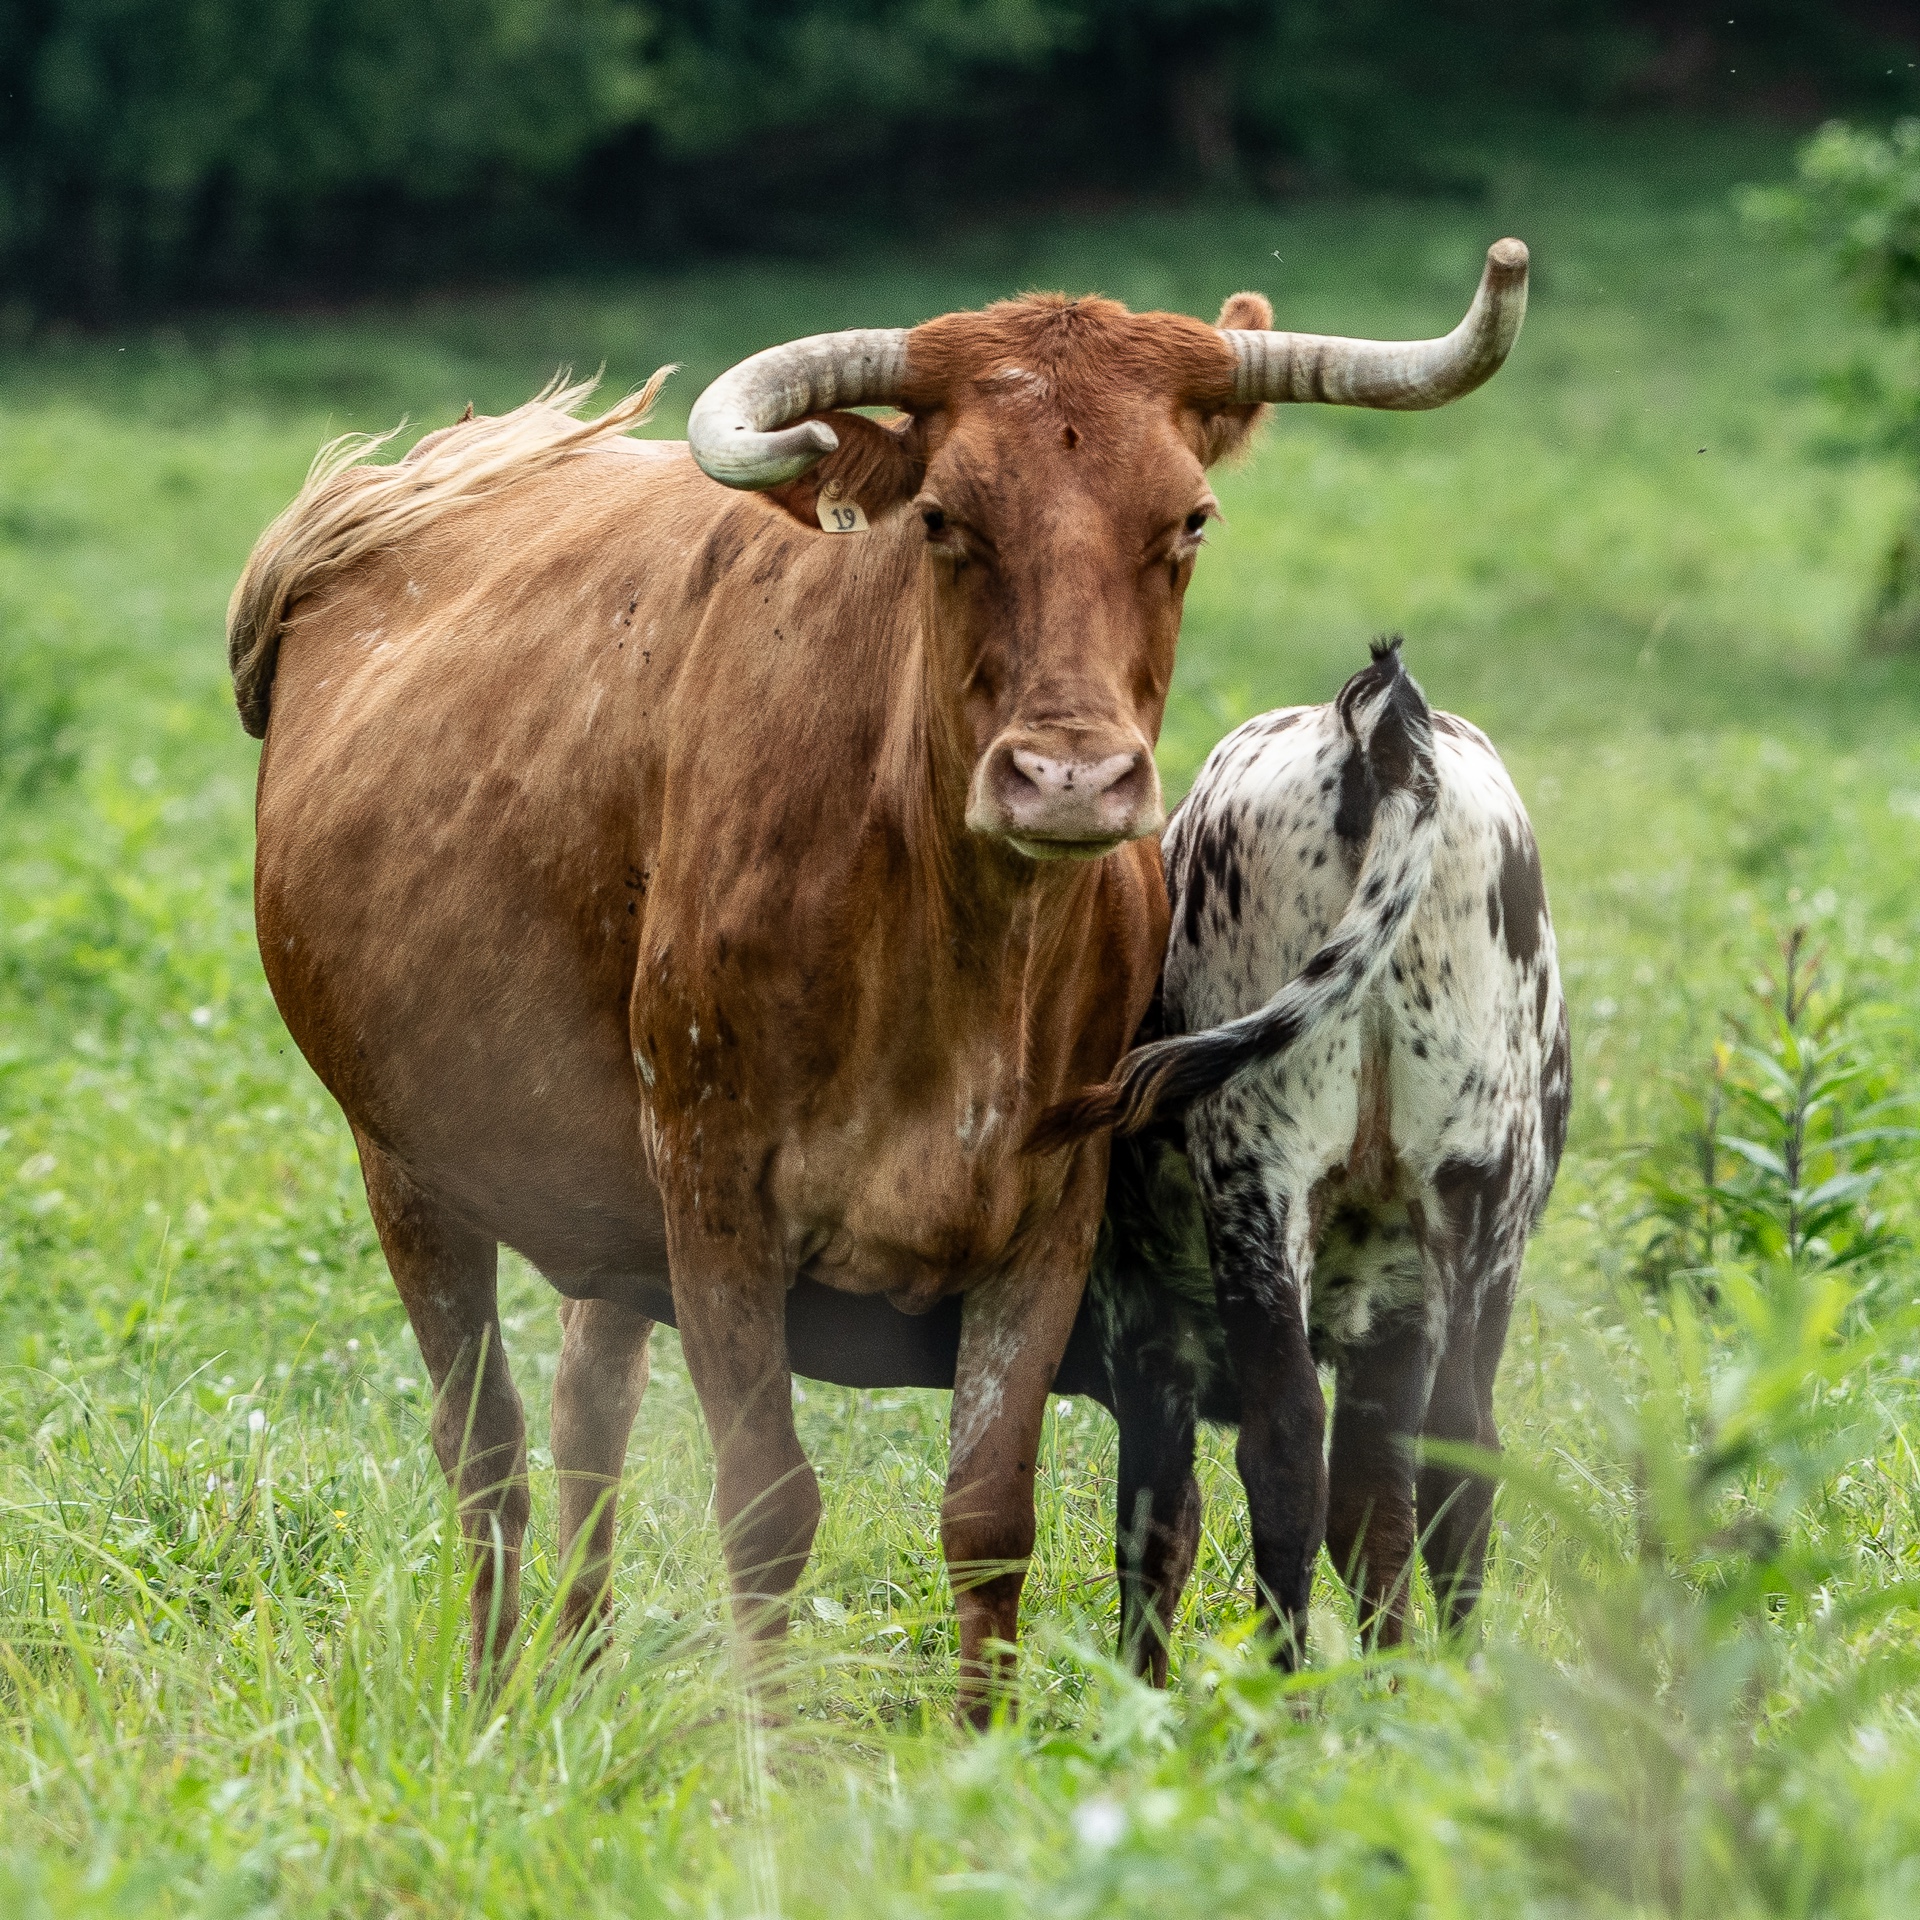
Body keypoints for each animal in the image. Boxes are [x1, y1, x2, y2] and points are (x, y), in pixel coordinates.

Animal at [1045, 642, 1569, 1680]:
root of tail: (1376, 727)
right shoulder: (1397, 1324)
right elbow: (1378, 1512)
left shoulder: (1145, 1336)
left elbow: (1157, 1534)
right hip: (1479, 1199)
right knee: (1459, 1455)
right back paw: (1456, 1687)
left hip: (1261, 1179)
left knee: (1282, 1452)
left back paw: (1283, 1692)